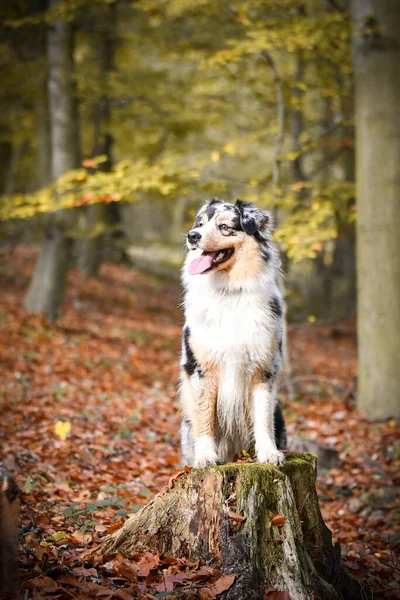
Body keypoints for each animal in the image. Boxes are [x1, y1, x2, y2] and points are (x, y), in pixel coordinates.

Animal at [180, 197, 286, 468]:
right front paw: (205, 456)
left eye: (225, 227)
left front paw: (269, 454)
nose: (192, 236)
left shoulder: (264, 368)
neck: (229, 291)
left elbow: (262, 417)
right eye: (200, 224)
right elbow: (205, 415)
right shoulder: (202, 368)